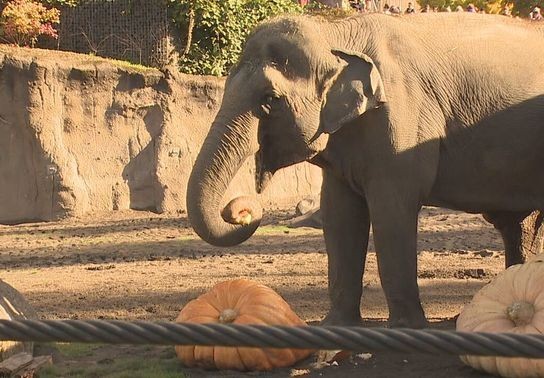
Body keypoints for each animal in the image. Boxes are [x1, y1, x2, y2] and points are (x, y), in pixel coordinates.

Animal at [186, 13, 544, 330]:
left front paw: (406, 328)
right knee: (521, 227)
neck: (334, 35)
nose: (242, 211)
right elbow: (340, 215)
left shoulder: (401, 119)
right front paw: (336, 326)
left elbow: (391, 211)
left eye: (270, 99)